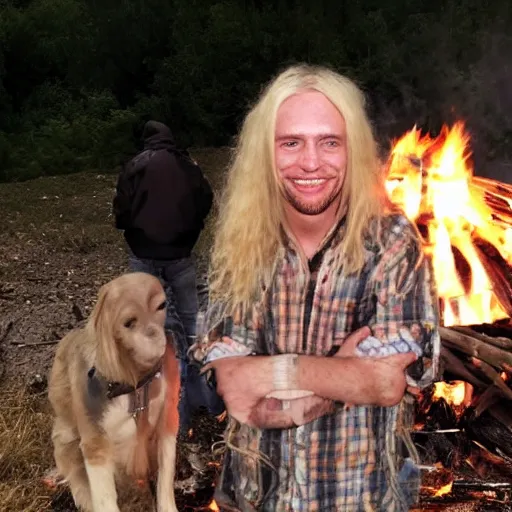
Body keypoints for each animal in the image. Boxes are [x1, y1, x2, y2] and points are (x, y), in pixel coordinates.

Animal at [48, 274, 180, 512]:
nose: (157, 340)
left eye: (161, 306)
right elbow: (104, 499)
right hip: (66, 440)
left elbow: (166, 478)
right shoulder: (95, 445)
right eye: (128, 322)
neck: (136, 386)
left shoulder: (168, 420)